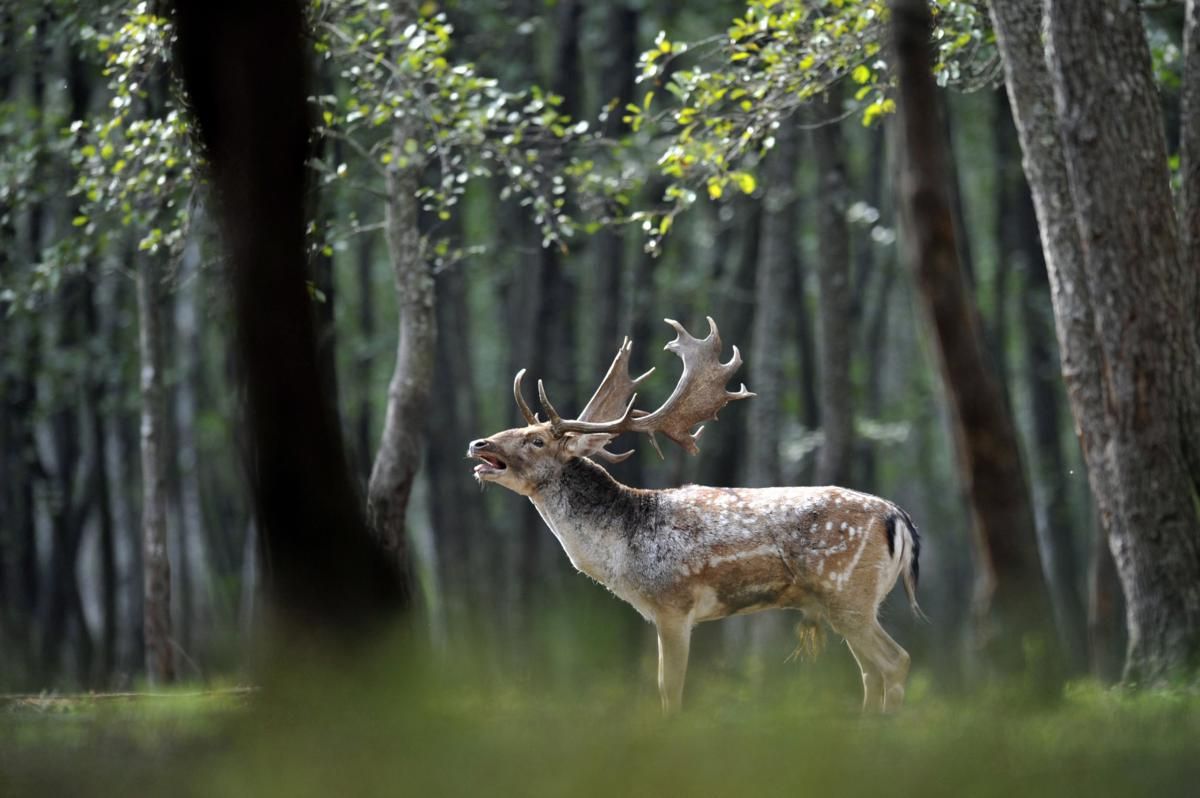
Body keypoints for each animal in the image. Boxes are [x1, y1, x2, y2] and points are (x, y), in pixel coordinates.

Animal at [468, 314, 926, 710]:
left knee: (895, 661)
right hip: (849, 603)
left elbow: (669, 688)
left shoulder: (673, 603)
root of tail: (899, 518)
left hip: (847, 592)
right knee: (870, 672)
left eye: (536, 440)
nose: (478, 444)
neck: (622, 551)